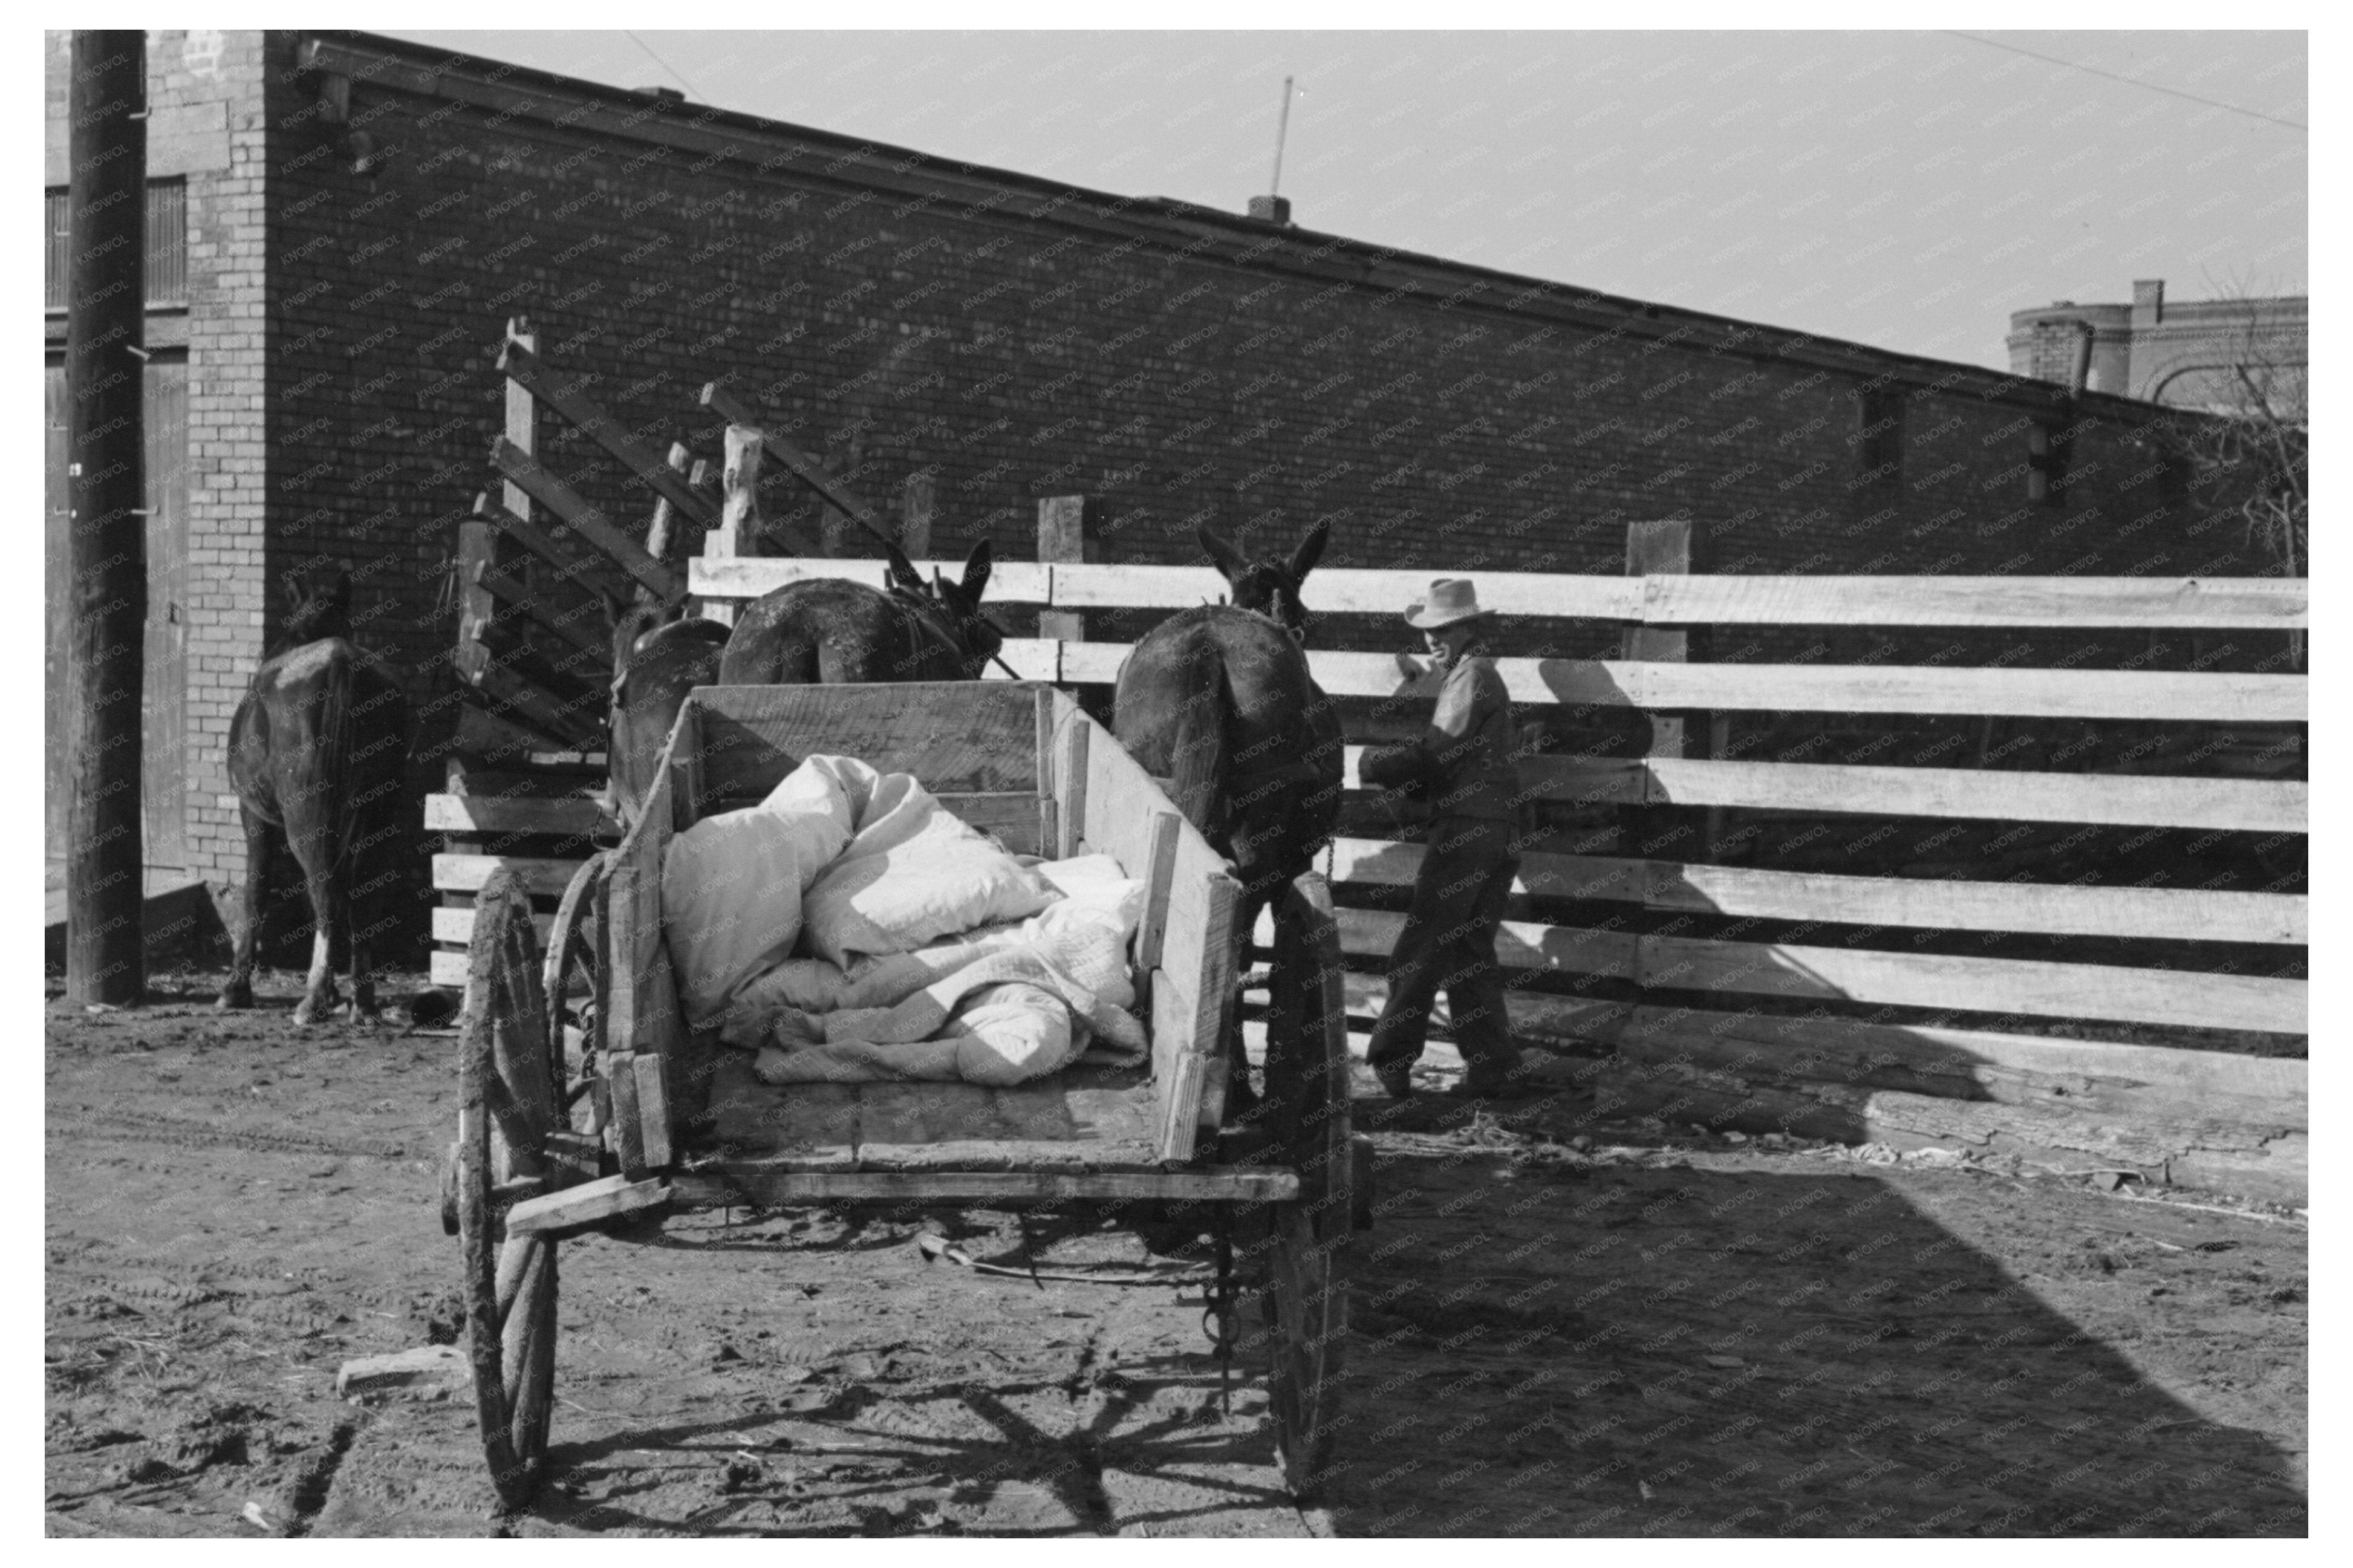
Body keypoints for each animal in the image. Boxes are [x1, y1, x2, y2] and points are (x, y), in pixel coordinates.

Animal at [218, 567, 411, 1021]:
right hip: (382, 816)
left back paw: (316, 996)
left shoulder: (255, 816)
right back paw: (362, 1000)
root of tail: (341, 662)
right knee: (360, 899)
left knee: (324, 890)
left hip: (305, 814)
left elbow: (256, 892)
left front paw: (236, 987)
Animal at [1115, 522, 1346, 1097]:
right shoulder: (1296, 861)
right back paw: (1236, 1081)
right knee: (1238, 940)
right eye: (1307, 616)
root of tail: (1206, 646)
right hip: (1263, 847)